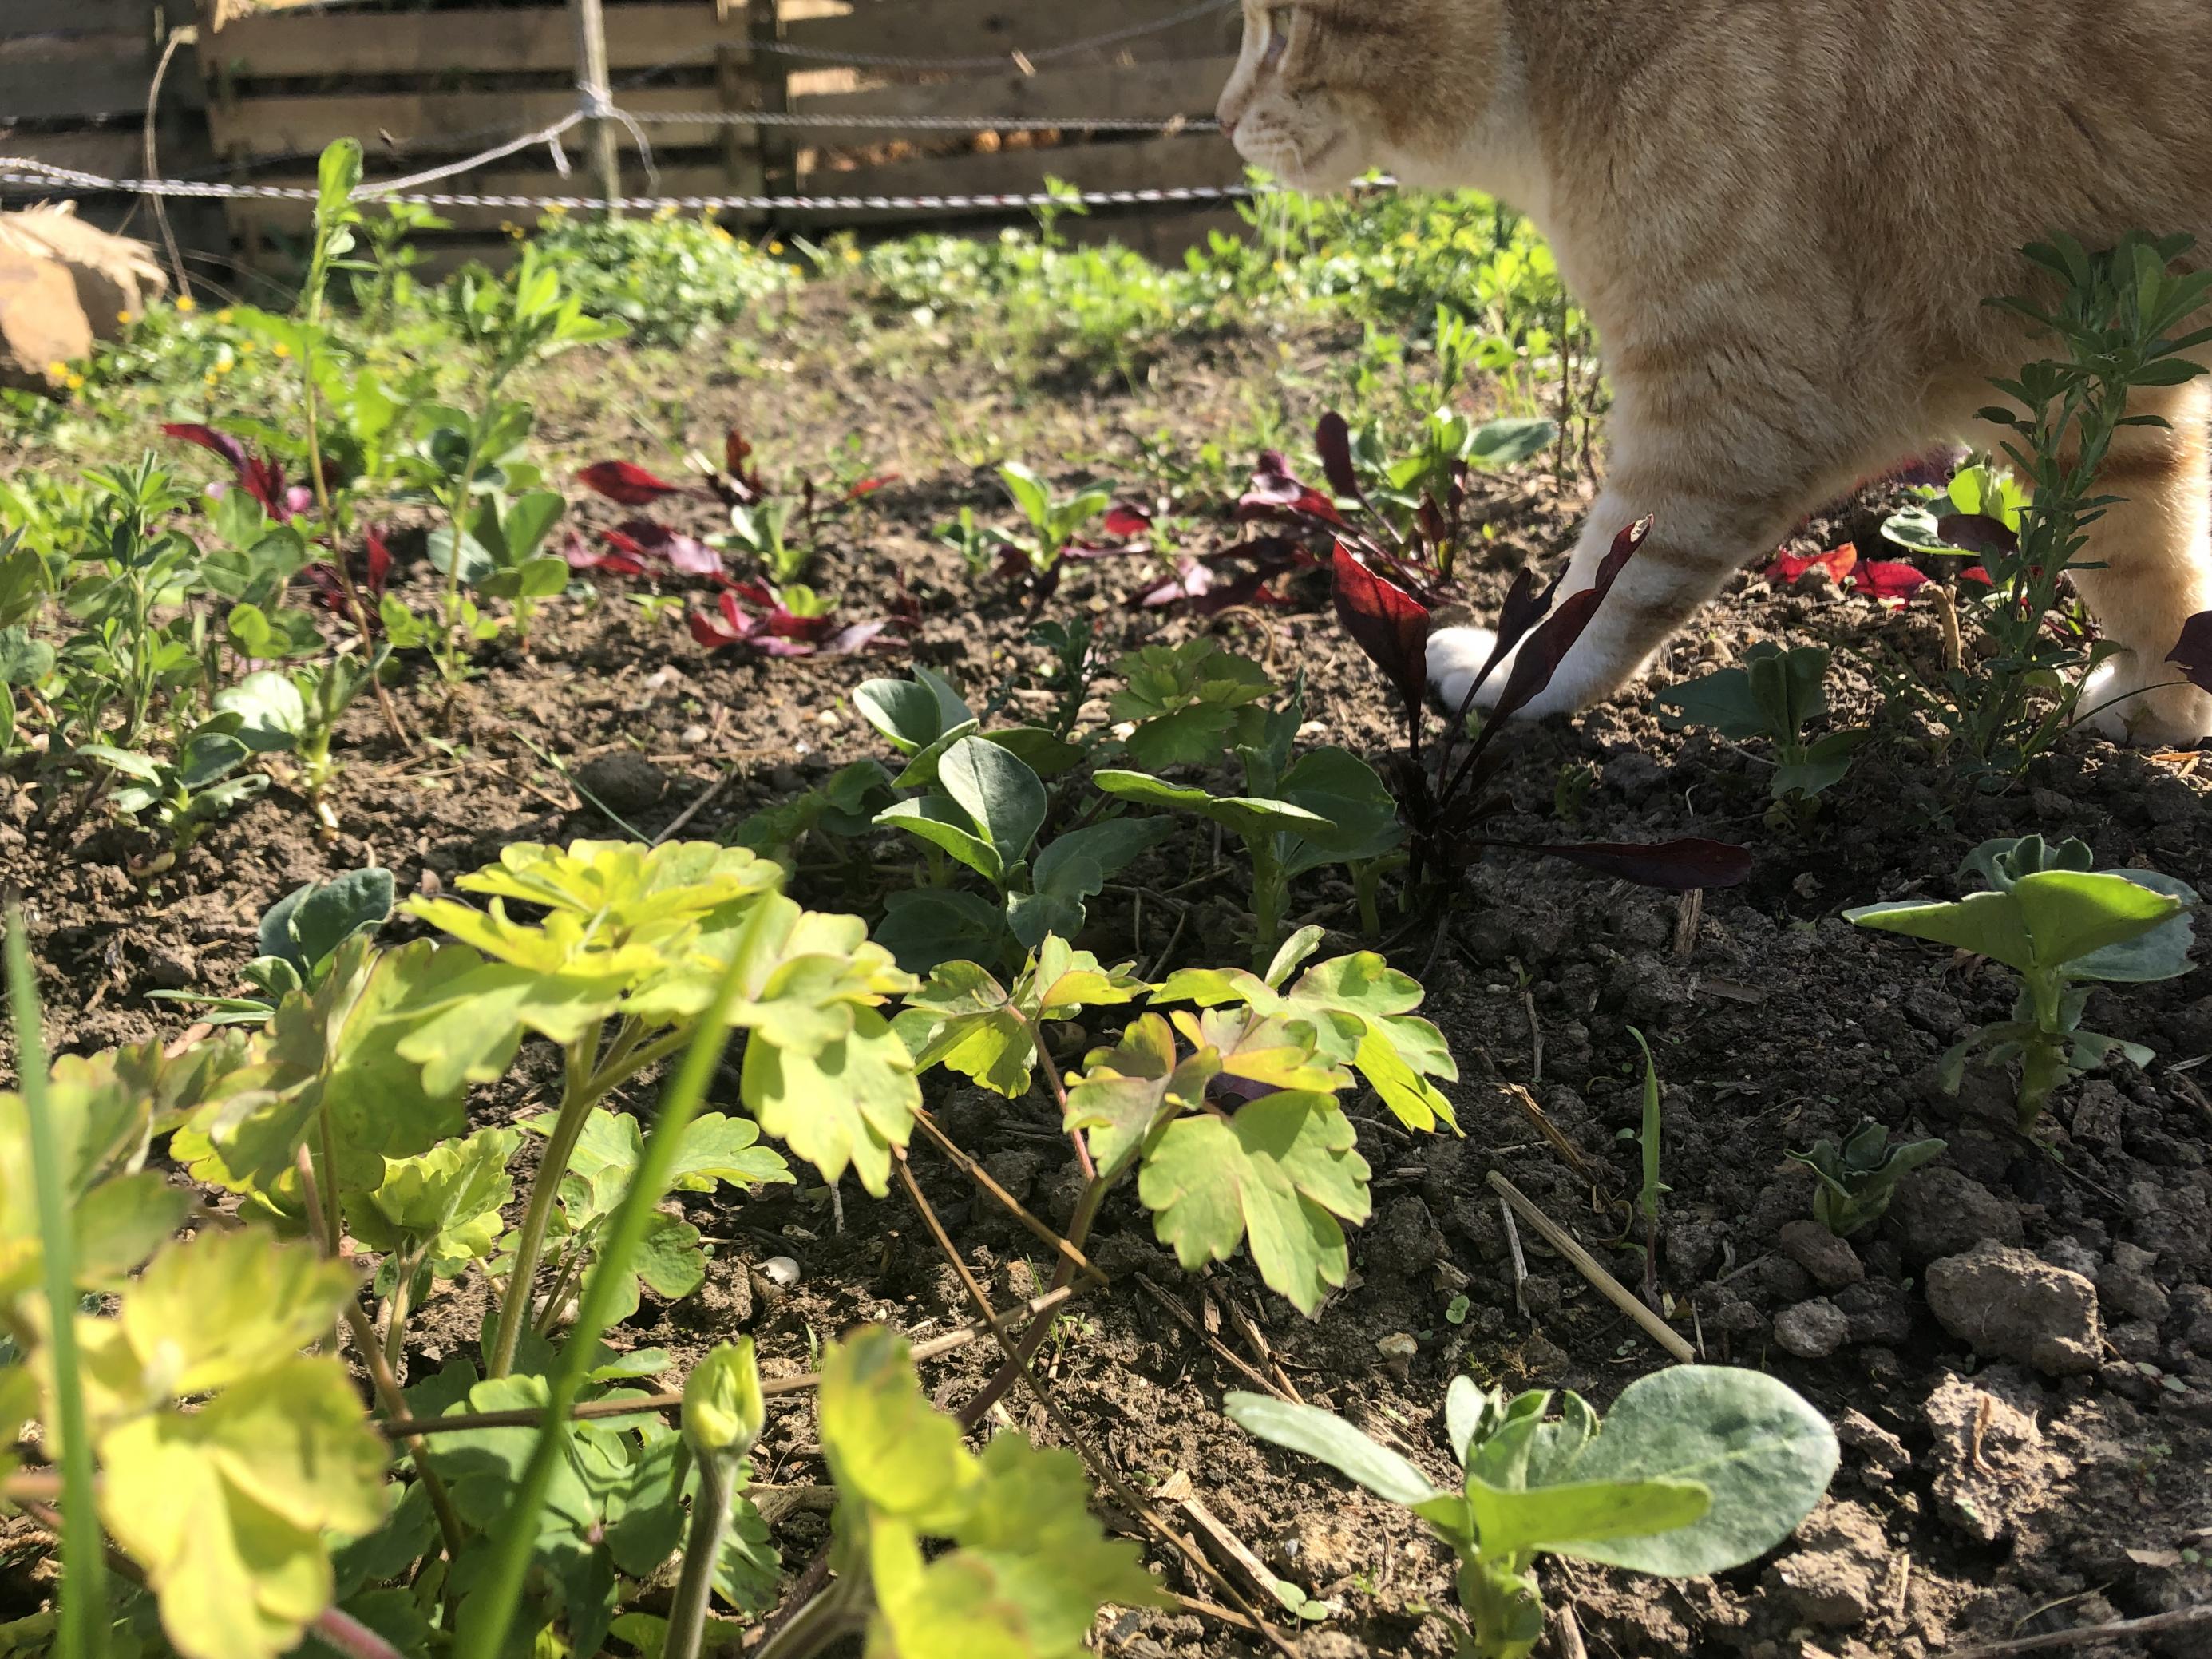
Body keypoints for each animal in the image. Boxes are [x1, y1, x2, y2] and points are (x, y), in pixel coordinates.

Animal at [1221, 0, 2212, 738]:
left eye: (1281, 23)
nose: (1222, 117)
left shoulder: (1731, 397)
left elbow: (1607, 584)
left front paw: (1510, 677)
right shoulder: (2088, 393)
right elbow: (2149, 575)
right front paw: (2160, 706)